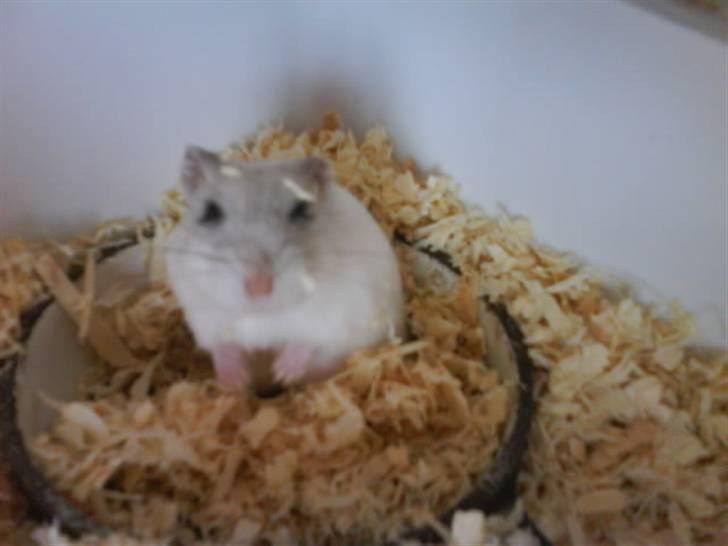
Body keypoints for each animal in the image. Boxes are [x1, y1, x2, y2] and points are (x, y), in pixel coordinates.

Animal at [164, 146, 405, 395]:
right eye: (210, 211)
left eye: (302, 209)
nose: (259, 286)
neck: (263, 314)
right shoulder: (203, 315)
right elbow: (221, 345)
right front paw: (233, 381)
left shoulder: (337, 314)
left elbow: (308, 340)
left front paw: (282, 372)